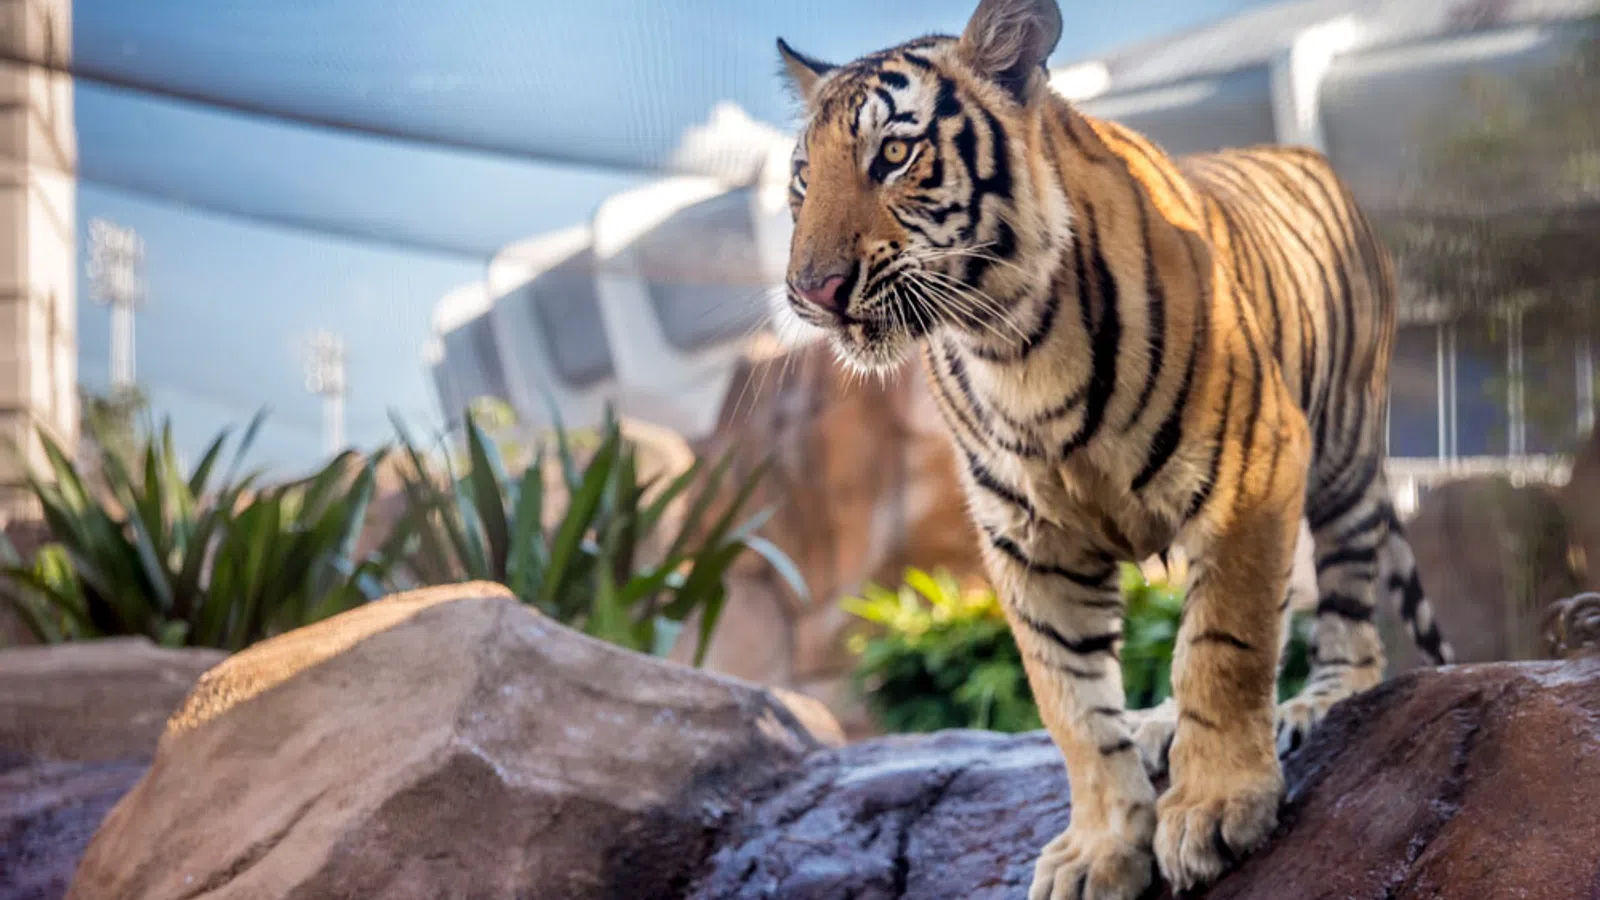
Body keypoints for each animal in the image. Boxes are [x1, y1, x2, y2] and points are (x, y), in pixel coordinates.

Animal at [772, 0, 1454, 897]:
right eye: (801, 180)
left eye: (892, 154)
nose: (811, 291)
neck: (1012, 347)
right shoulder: (1028, 543)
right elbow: (1071, 704)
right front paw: (1100, 849)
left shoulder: (1252, 470)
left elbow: (1222, 647)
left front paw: (1215, 807)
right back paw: (1161, 724)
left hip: (1343, 449)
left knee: (1349, 603)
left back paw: (1318, 700)